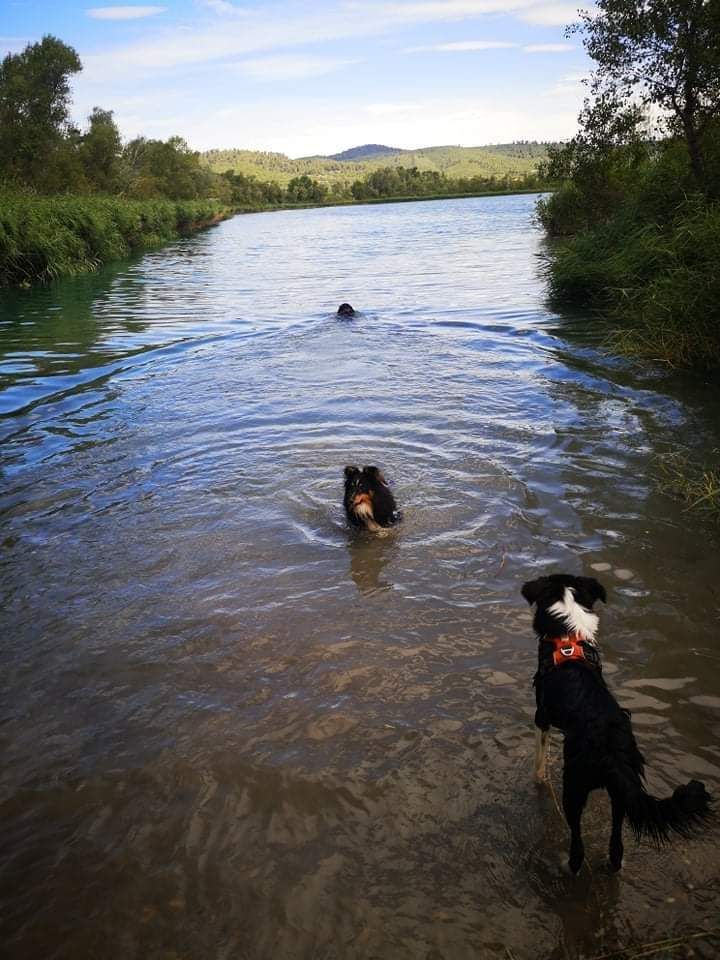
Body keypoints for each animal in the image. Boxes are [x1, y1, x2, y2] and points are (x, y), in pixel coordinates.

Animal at [520, 572, 712, 872]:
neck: (568, 638)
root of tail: (613, 752)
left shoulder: (542, 716)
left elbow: (539, 760)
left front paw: (538, 779)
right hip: (620, 797)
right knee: (616, 847)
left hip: (575, 787)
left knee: (578, 847)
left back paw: (566, 866)